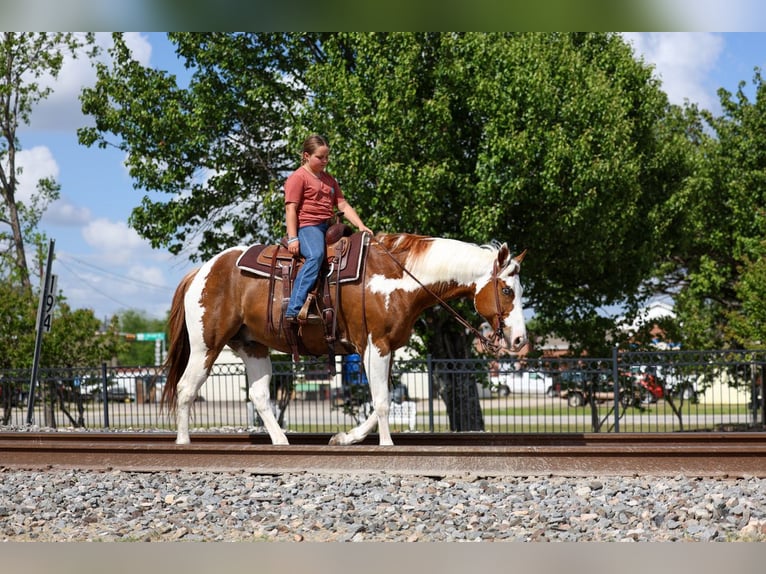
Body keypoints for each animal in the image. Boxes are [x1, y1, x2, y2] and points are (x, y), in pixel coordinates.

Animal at [161, 232, 528, 446]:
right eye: (507, 290)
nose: (520, 340)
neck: (399, 277)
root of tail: (202, 271)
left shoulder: (384, 349)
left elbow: (382, 401)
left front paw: (345, 438)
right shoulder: (374, 346)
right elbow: (381, 401)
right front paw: (386, 446)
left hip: (252, 346)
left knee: (260, 396)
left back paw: (281, 442)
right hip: (206, 345)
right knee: (186, 388)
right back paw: (183, 444)